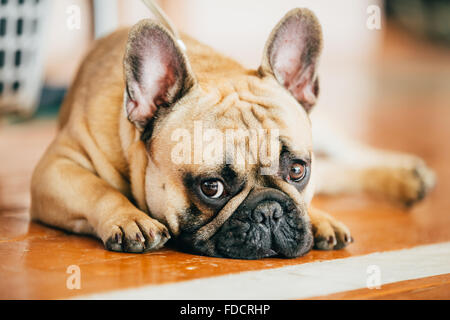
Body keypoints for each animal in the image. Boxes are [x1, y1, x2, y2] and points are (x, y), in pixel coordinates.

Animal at [29, 6, 434, 258]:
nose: (269, 211)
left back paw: (408, 173)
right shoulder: (55, 168)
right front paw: (129, 218)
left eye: (298, 170)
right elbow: (96, 188)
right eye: (211, 188)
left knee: (348, 155)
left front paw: (319, 218)